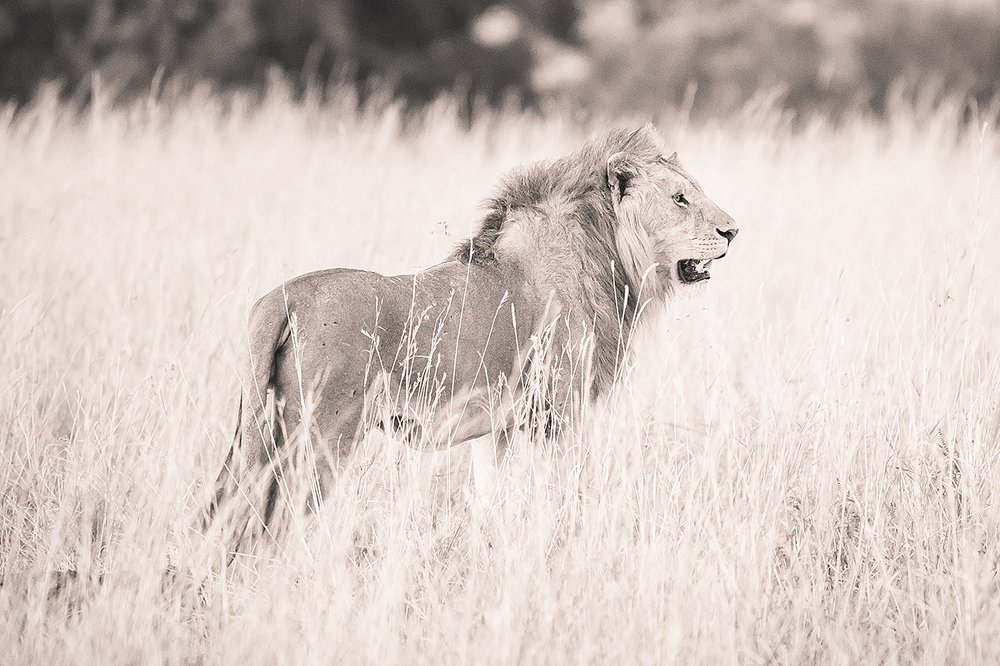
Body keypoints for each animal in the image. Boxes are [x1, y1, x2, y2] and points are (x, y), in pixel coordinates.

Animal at [204, 124, 738, 557]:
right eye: (680, 199)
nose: (733, 230)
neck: (611, 258)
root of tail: (281, 299)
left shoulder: (497, 425)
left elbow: (490, 497)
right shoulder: (562, 412)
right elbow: (567, 489)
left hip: (259, 430)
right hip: (322, 435)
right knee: (273, 519)